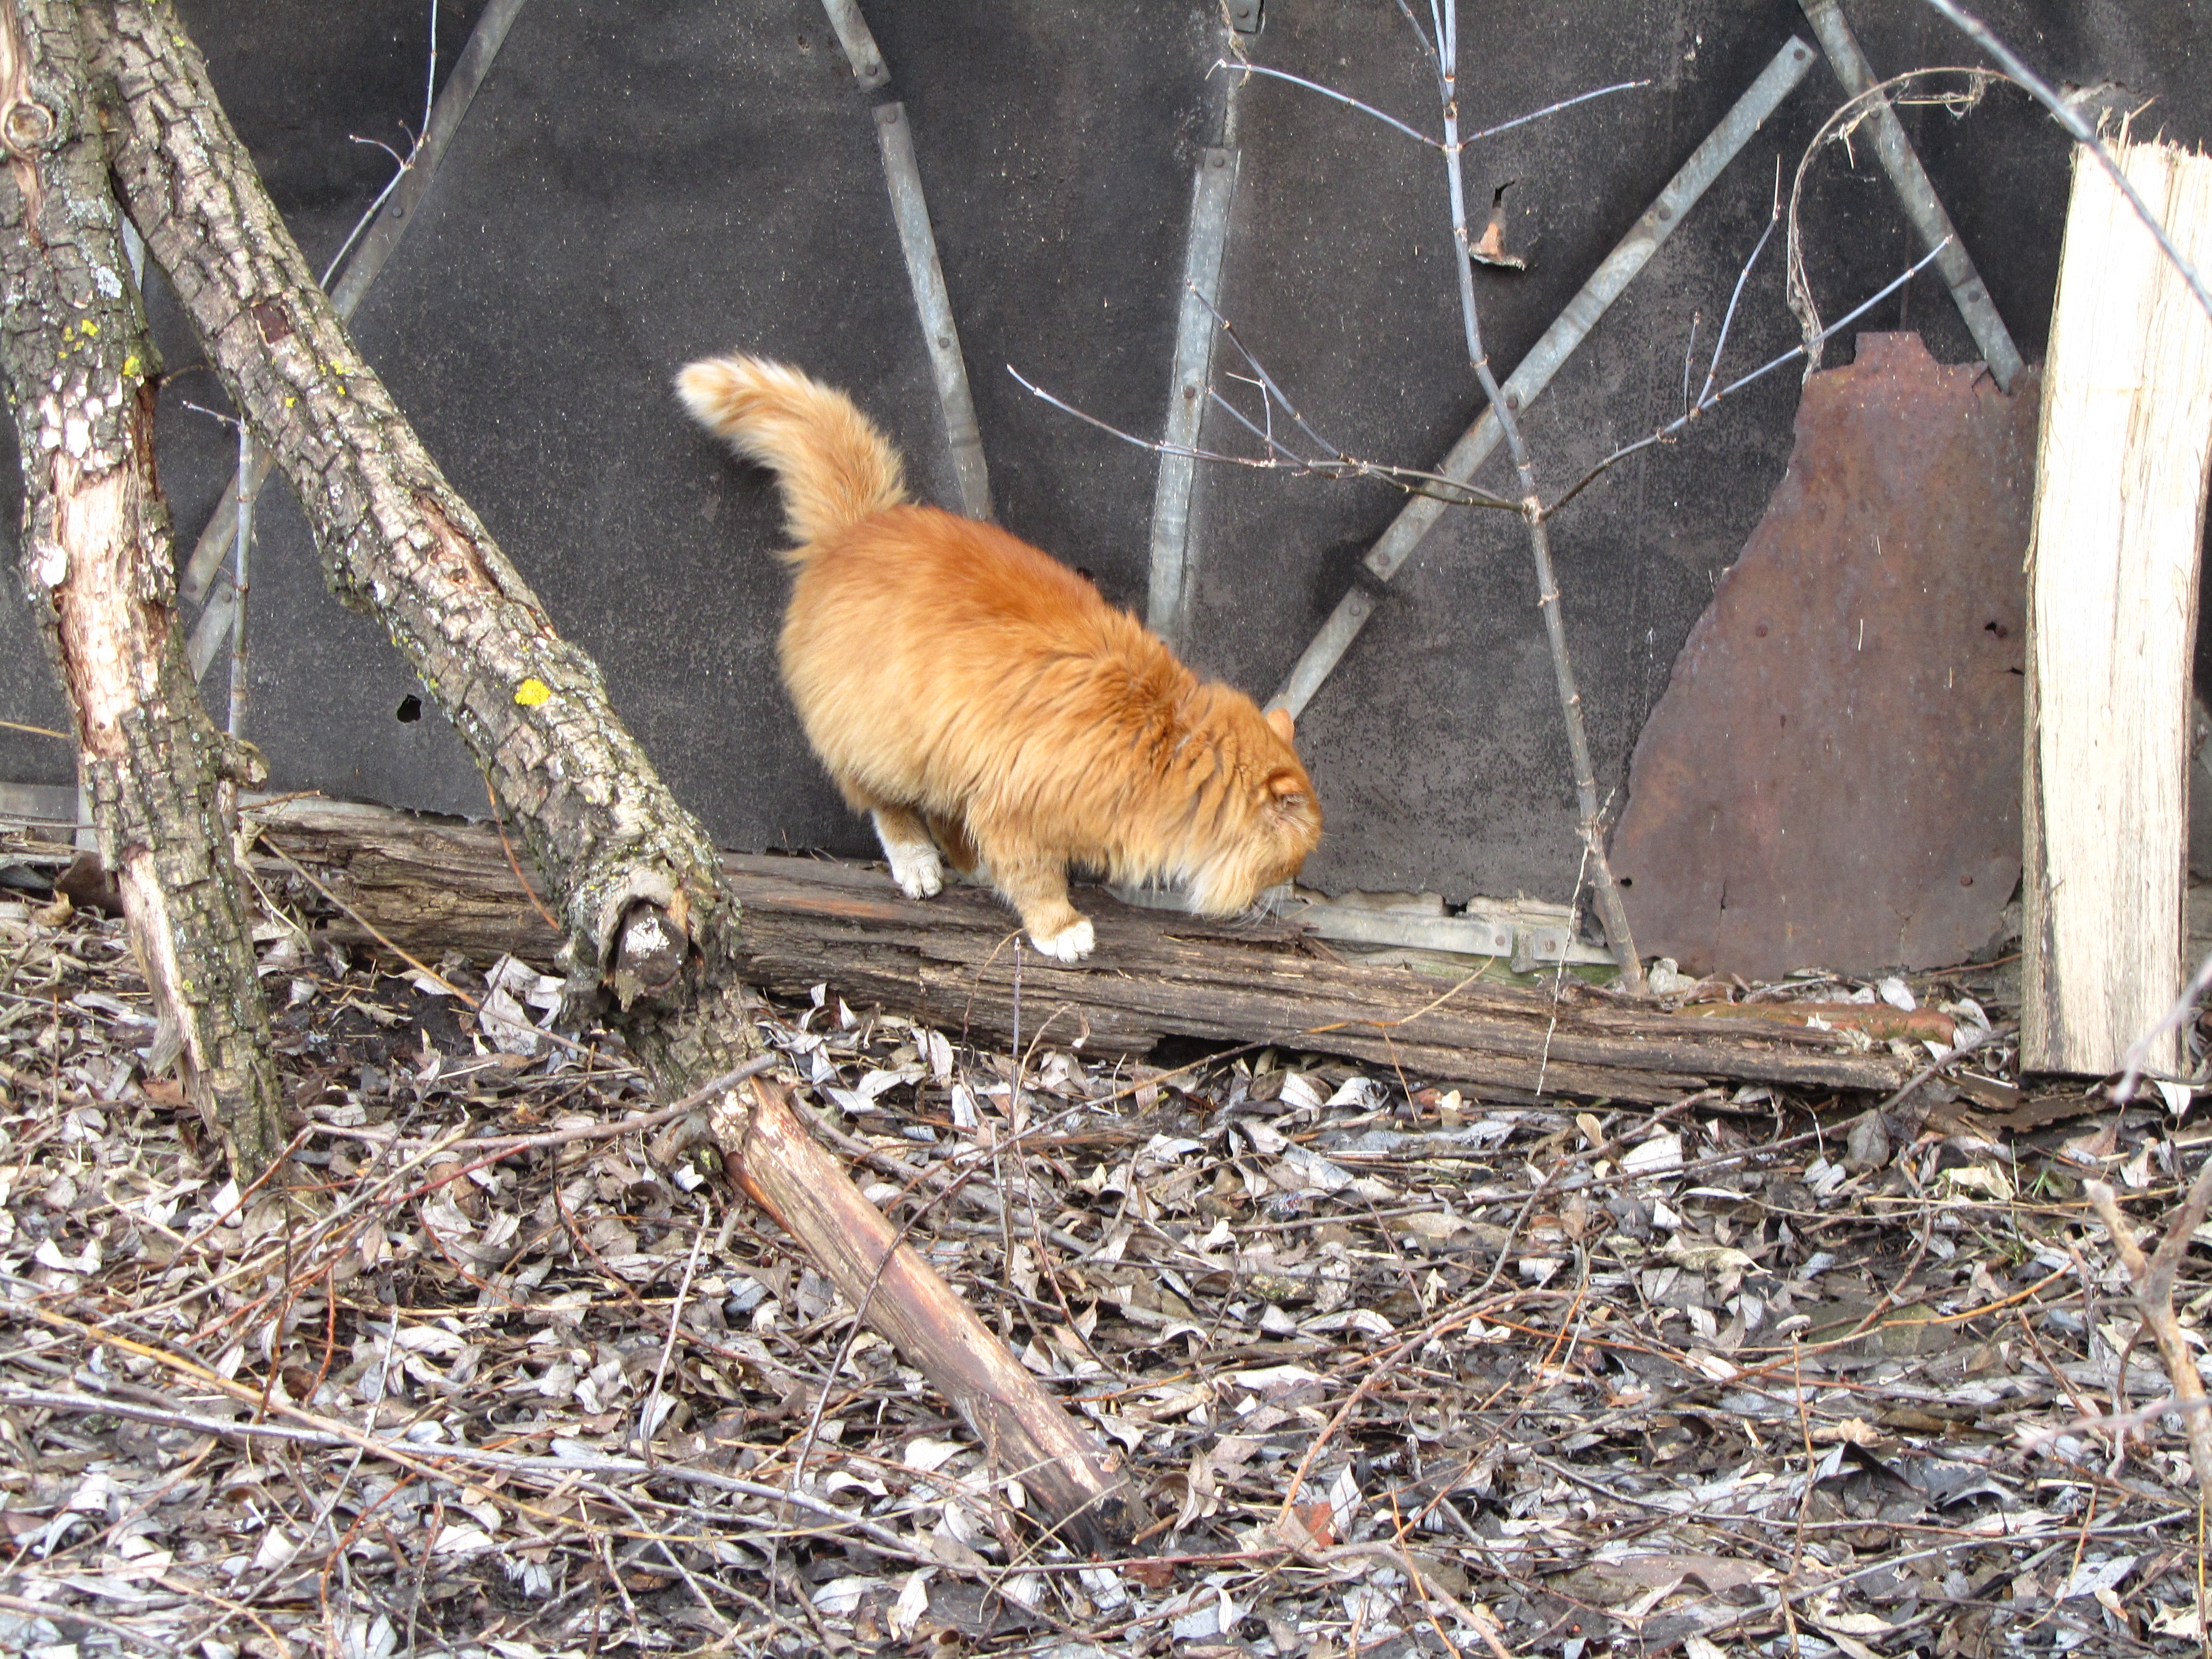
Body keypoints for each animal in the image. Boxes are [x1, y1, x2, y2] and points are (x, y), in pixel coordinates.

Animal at [681, 358, 1318, 969]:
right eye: (1289, 862)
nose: (1290, 889)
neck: (1166, 739)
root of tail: (859, 527)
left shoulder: (990, 782)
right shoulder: (1014, 809)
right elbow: (1037, 881)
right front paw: (1061, 931)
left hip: (945, 751)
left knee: (945, 817)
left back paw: (973, 868)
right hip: (886, 744)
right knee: (889, 809)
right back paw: (918, 866)